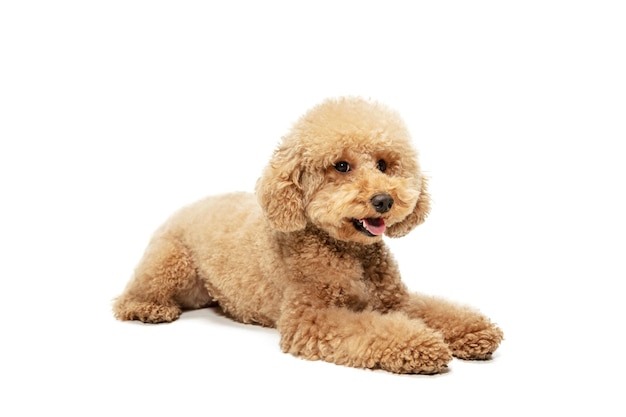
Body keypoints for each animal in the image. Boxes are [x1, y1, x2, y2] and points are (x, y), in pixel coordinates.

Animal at [113, 96, 502, 374]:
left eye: (383, 164)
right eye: (341, 166)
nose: (384, 200)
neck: (347, 251)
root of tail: (184, 207)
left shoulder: (395, 301)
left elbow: (435, 310)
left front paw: (473, 331)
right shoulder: (311, 317)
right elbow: (370, 328)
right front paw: (423, 343)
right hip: (170, 262)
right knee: (128, 297)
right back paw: (150, 308)